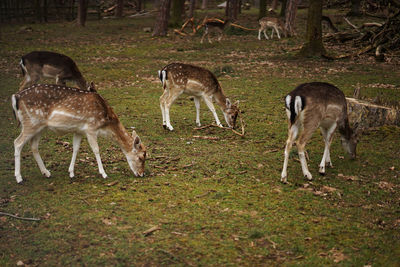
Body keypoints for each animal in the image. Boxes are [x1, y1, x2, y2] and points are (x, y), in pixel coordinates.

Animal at [12, 84, 147, 184]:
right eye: (141, 157)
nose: (142, 174)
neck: (105, 122)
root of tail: (15, 97)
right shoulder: (91, 128)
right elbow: (96, 150)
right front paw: (104, 173)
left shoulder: (79, 131)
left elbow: (75, 148)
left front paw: (71, 172)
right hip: (31, 123)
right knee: (17, 142)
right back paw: (19, 178)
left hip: (39, 127)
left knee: (33, 145)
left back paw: (46, 172)